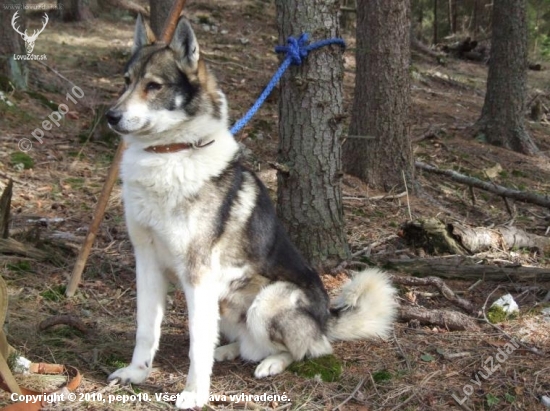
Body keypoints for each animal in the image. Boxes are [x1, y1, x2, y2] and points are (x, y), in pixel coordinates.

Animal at [106, 15, 402, 408]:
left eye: (153, 86)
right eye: (127, 81)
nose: (110, 116)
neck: (169, 152)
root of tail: (326, 318)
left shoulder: (198, 275)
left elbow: (196, 345)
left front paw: (195, 393)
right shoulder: (147, 261)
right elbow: (146, 329)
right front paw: (137, 373)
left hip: (267, 301)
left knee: (309, 350)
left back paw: (272, 363)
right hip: (224, 302)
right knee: (246, 344)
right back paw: (228, 350)